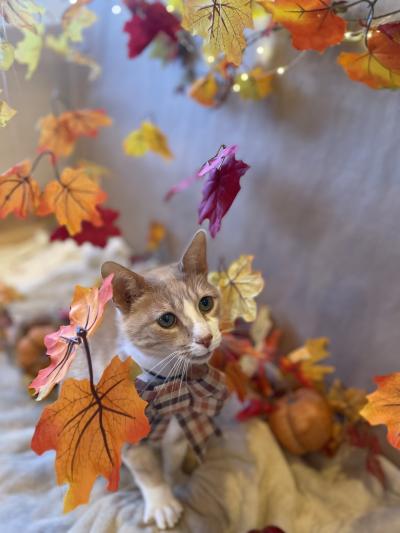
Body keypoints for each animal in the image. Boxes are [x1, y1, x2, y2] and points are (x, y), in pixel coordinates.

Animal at [100, 231, 222, 528]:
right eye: (167, 319)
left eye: (205, 302)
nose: (205, 338)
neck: (166, 385)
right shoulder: (124, 434)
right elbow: (145, 468)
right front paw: (162, 503)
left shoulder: (179, 425)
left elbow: (172, 460)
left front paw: (173, 482)